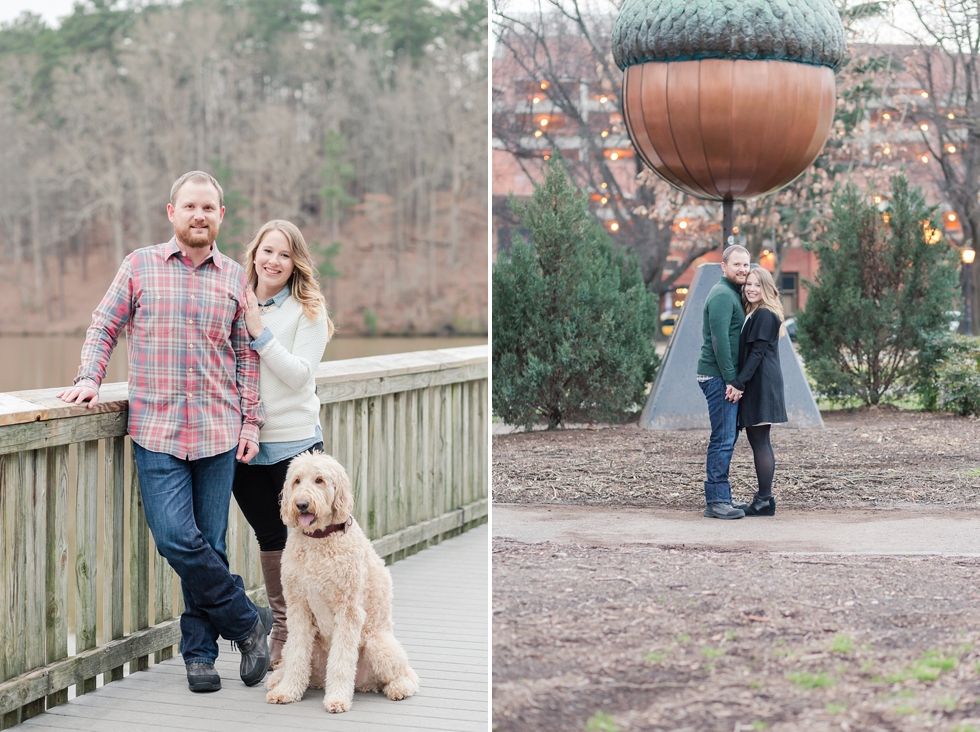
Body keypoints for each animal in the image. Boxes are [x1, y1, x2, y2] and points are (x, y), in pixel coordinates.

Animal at [266, 448, 420, 712]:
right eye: (297, 481)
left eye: (319, 480)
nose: (301, 504)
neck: (319, 540)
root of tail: (364, 685)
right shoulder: (298, 608)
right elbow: (296, 655)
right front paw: (287, 691)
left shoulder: (348, 611)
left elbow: (341, 661)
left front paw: (337, 698)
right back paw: (278, 679)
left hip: (378, 644)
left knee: (408, 675)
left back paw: (398, 688)